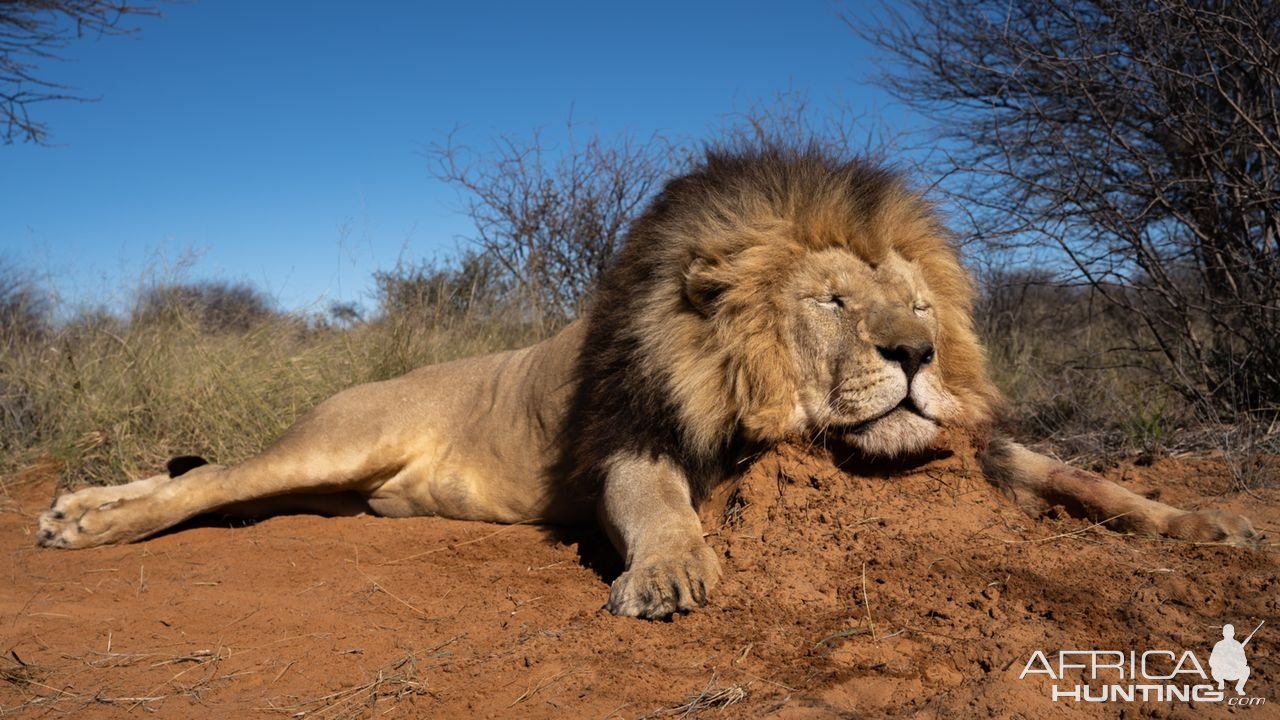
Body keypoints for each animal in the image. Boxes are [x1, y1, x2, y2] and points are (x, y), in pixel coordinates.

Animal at [35, 147, 1254, 617]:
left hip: (334, 484)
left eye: (915, 299)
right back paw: (82, 521)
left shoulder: (986, 447)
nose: (914, 356)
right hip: (338, 438)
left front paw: (1210, 527)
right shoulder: (637, 440)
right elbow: (661, 510)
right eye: (833, 302)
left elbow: (1083, 479)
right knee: (207, 480)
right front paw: (669, 575)